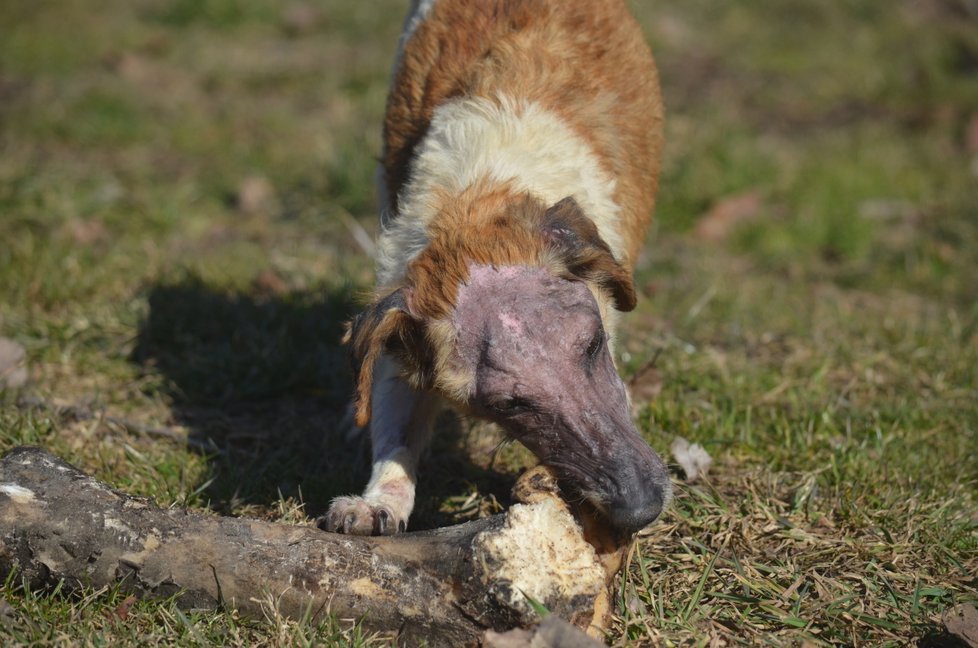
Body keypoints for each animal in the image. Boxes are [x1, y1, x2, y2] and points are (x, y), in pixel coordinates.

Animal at [320, 0, 672, 536]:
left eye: (593, 346)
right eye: (508, 404)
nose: (641, 509)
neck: (479, 196)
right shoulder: (403, 322)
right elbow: (395, 423)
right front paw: (376, 502)